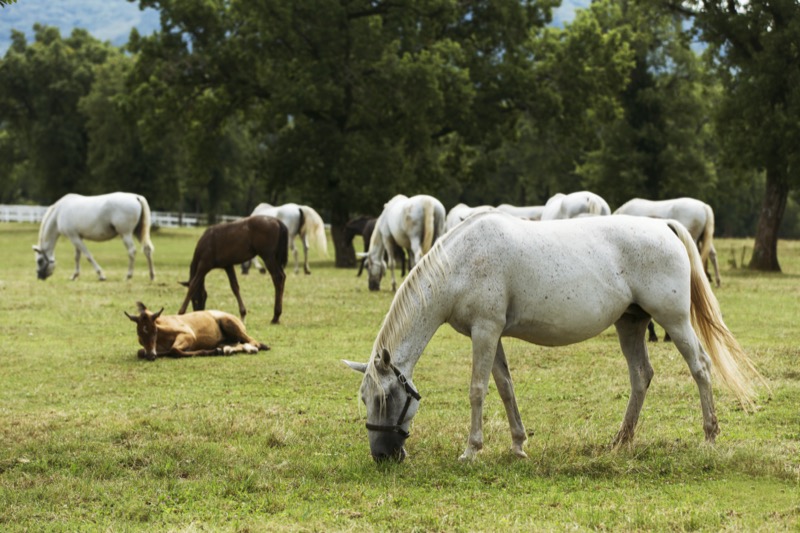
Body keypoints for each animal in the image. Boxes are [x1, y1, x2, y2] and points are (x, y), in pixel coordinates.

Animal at [344, 212, 764, 462]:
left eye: (385, 398)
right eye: (366, 398)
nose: (381, 456)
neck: (461, 262)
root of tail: (664, 226)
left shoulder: (484, 331)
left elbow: (478, 389)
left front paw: (471, 450)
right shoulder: (493, 335)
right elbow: (505, 387)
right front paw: (518, 445)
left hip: (674, 320)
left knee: (701, 368)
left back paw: (709, 437)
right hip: (630, 324)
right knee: (641, 377)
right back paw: (621, 441)